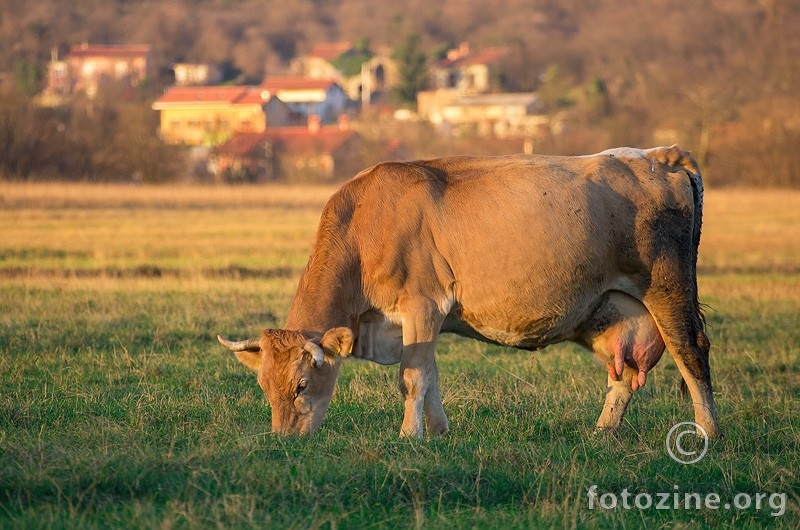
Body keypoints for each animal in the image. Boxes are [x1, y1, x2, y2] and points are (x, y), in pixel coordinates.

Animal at [217, 145, 720, 438]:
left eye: (302, 384)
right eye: (264, 385)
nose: (284, 439)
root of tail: (660, 154)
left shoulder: (422, 305)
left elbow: (412, 377)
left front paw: (410, 437)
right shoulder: (423, 320)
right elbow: (430, 373)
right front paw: (439, 433)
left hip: (667, 288)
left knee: (691, 352)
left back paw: (709, 434)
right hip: (616, 309)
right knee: (624, 373)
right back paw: (602, 433)